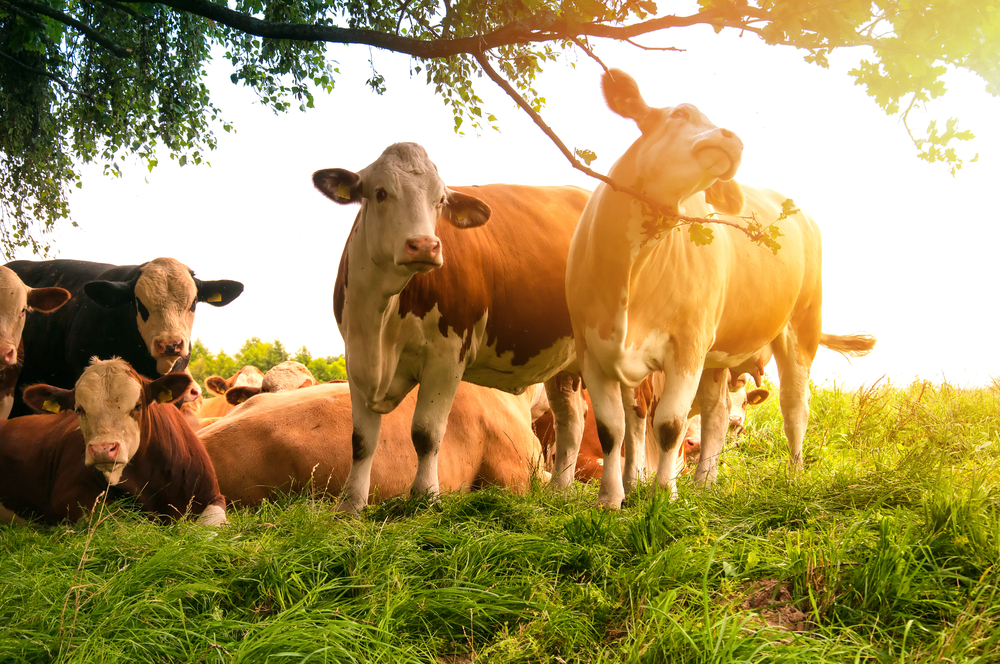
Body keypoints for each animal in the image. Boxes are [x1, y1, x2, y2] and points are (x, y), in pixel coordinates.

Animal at [316, 144, 588, 508]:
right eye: (380, 192)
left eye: (440, 200)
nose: (424, 245)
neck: (380, 319)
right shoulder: (355, 356)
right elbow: (361, 439)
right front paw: (351, 505)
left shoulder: (447, 356)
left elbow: (426, 433)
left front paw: (426, 497)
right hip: (564, 363)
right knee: (571, 421)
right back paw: (561, 491)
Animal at [564, 70, 876, 506]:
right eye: (679, 113)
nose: (732, 138)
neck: (632, 269)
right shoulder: (591, 348)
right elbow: (614, 430)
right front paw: (611, 500)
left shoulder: (687, 346)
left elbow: (671, 425)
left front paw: (664, 495)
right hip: (717, 353)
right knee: (715, 413)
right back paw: (704, 482)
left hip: (800, 327)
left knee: (794, 406)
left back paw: (794, 475)